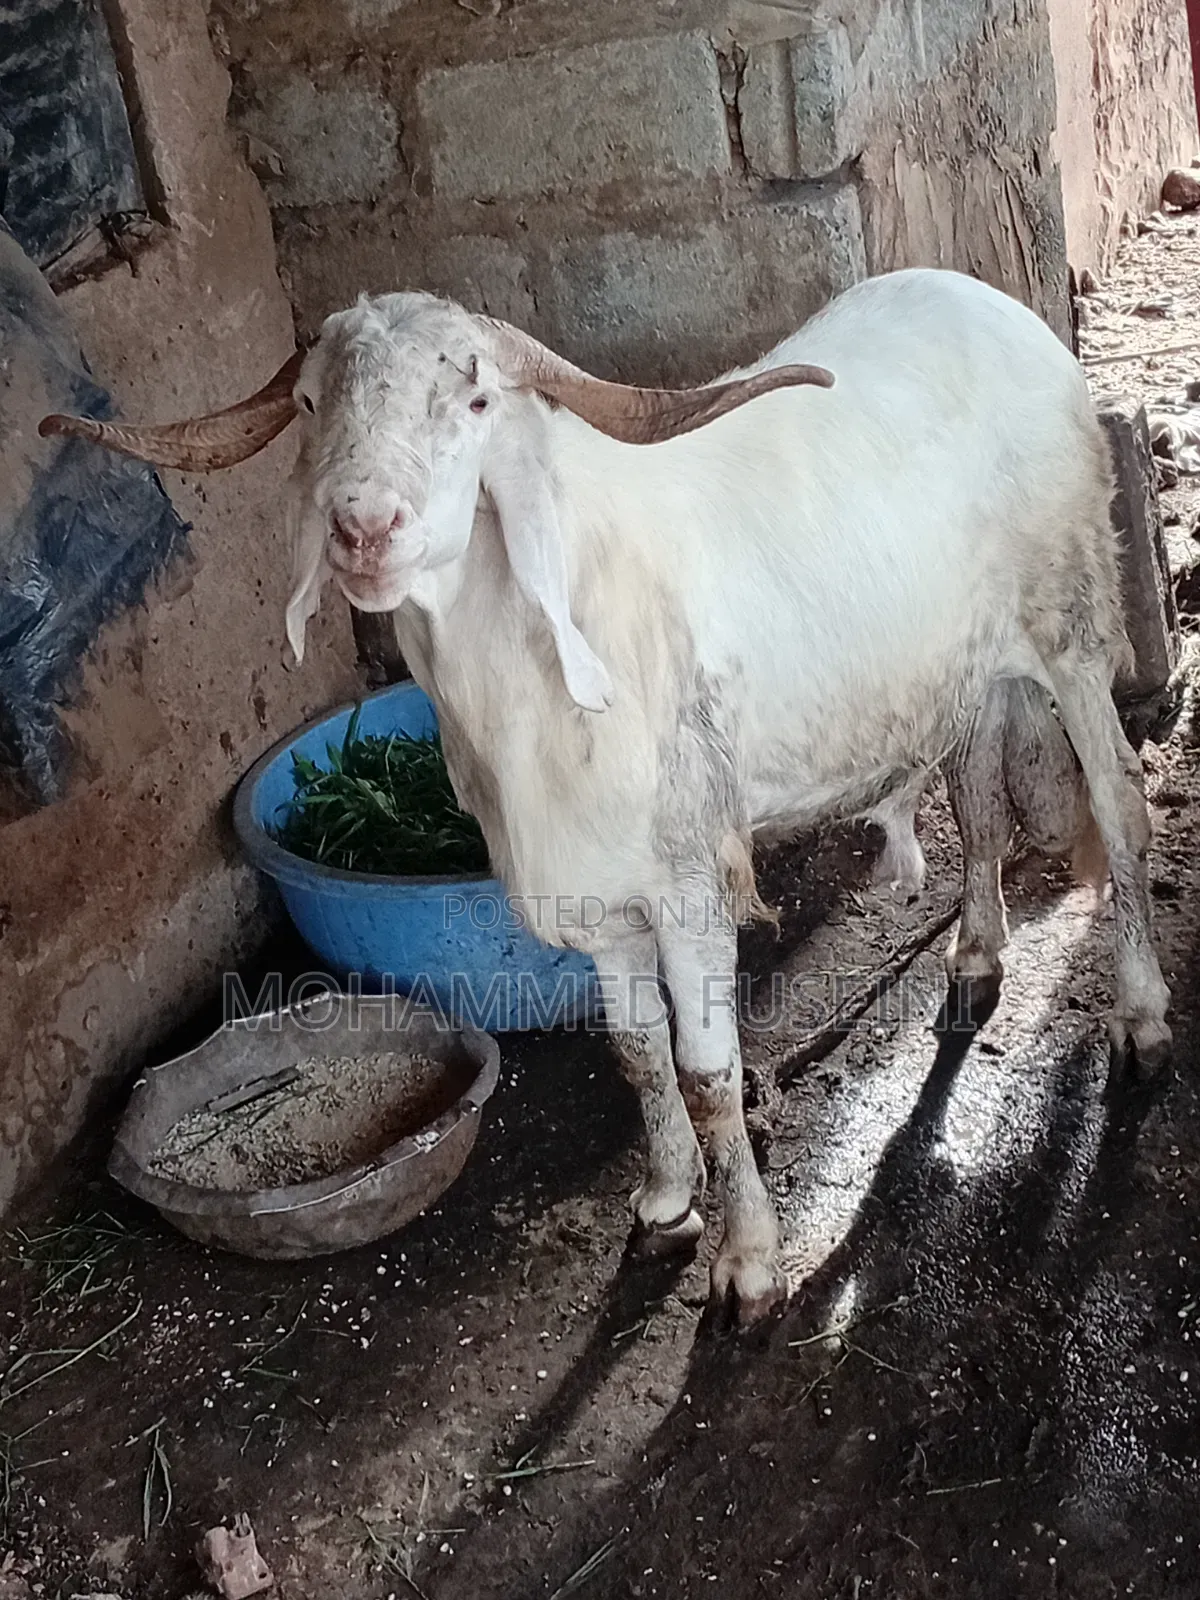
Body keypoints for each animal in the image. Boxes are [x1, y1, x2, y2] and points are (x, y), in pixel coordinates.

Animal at [41, 266, 1171, 1325]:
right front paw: (666, 1203)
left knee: (1119, 802)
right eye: (313, 402)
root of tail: (993, 304)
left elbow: (708, 1072)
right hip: (965, 666)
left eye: (477, 400)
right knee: (978, 789)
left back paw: (1144, 1020)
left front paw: (747, 1266)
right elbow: (635, 1056)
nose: (362, 526)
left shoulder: (686, 878)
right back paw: (974, 963)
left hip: (1071, 620)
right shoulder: (597, 896)